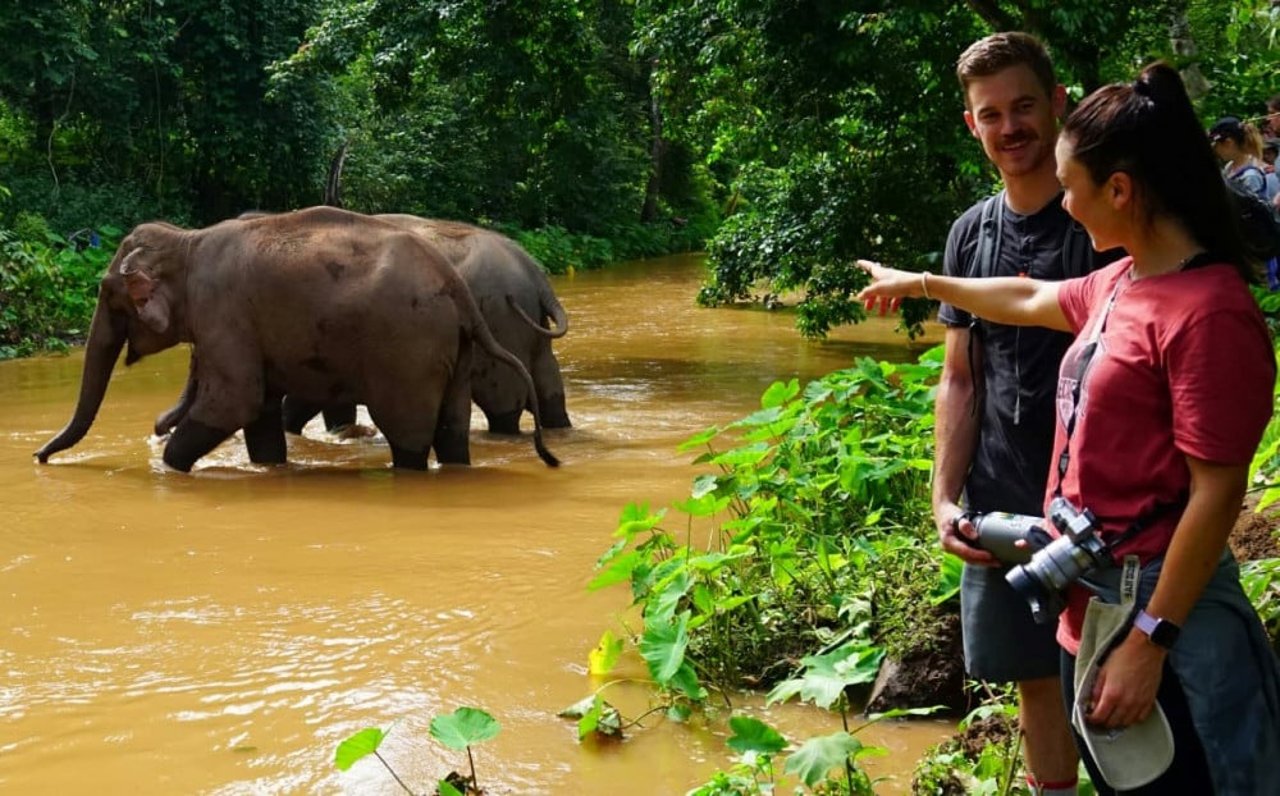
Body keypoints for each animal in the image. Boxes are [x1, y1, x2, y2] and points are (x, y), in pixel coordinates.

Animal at [35, 206, 560, 473]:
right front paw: (269, 469)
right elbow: (260, 413)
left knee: (411, 435)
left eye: (107, 294)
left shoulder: (222, 311)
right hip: (453, 349)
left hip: (408, 353)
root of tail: (456, 289)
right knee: (453, 430)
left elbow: (235, 401)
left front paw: (169, 468)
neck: (187, 240)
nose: (38, 457)